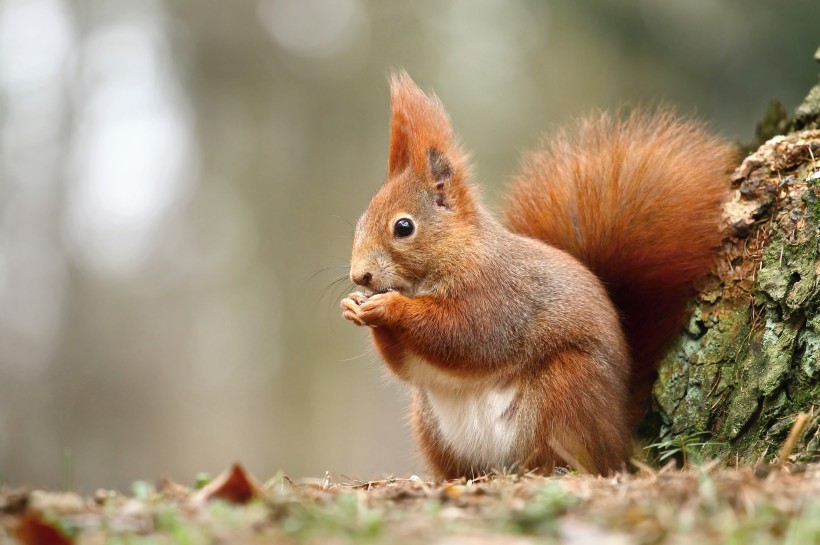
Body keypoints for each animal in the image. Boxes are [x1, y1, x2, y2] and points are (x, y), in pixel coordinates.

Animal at [336, 71, 732, 476]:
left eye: (404, 227)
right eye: (359, 223)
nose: (360, 276)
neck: (454, 257)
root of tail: (619, 429)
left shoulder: (500, 295)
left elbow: (464, 335)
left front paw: (388, 308)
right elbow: (407, 366)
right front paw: (353, 306)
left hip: (567, 389)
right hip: (433, 428)